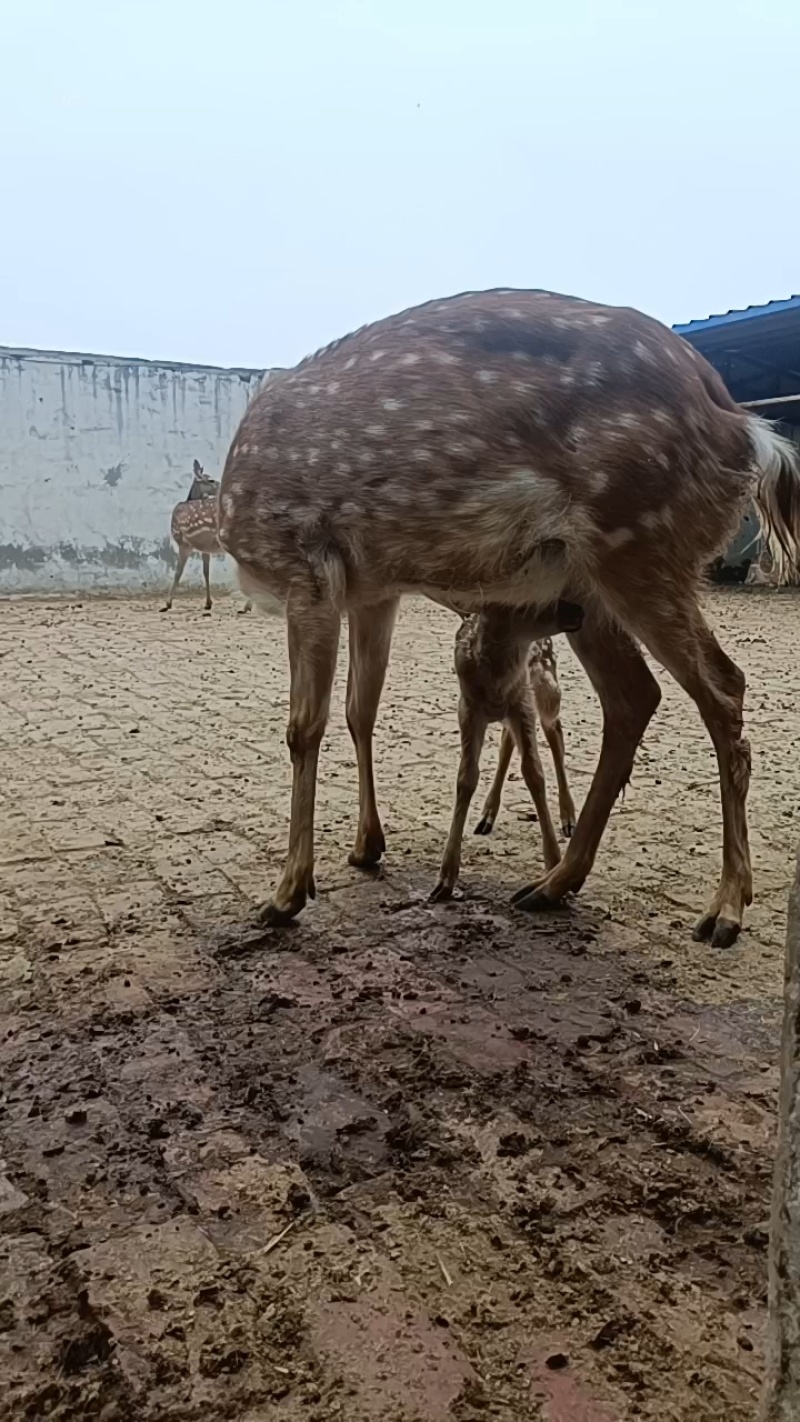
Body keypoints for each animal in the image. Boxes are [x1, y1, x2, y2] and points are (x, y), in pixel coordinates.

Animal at [161, 460, 252, 615]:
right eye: (210, 479)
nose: (222, 487)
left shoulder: (184, 542)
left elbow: (178, 572)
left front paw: (167, 603)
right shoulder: (205, 547)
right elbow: (206, 572)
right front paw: (208, 603)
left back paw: (247, 606)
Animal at [431, 598, 581, 902]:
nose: (577, 609)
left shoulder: (523, 700)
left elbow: (534, 774)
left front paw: (552, 865)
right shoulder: (468, 708)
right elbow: (466, 777)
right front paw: (445, 879)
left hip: (545, 682)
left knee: (555, 731)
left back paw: (569, 818)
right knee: (508, 739)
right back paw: (487, 816)